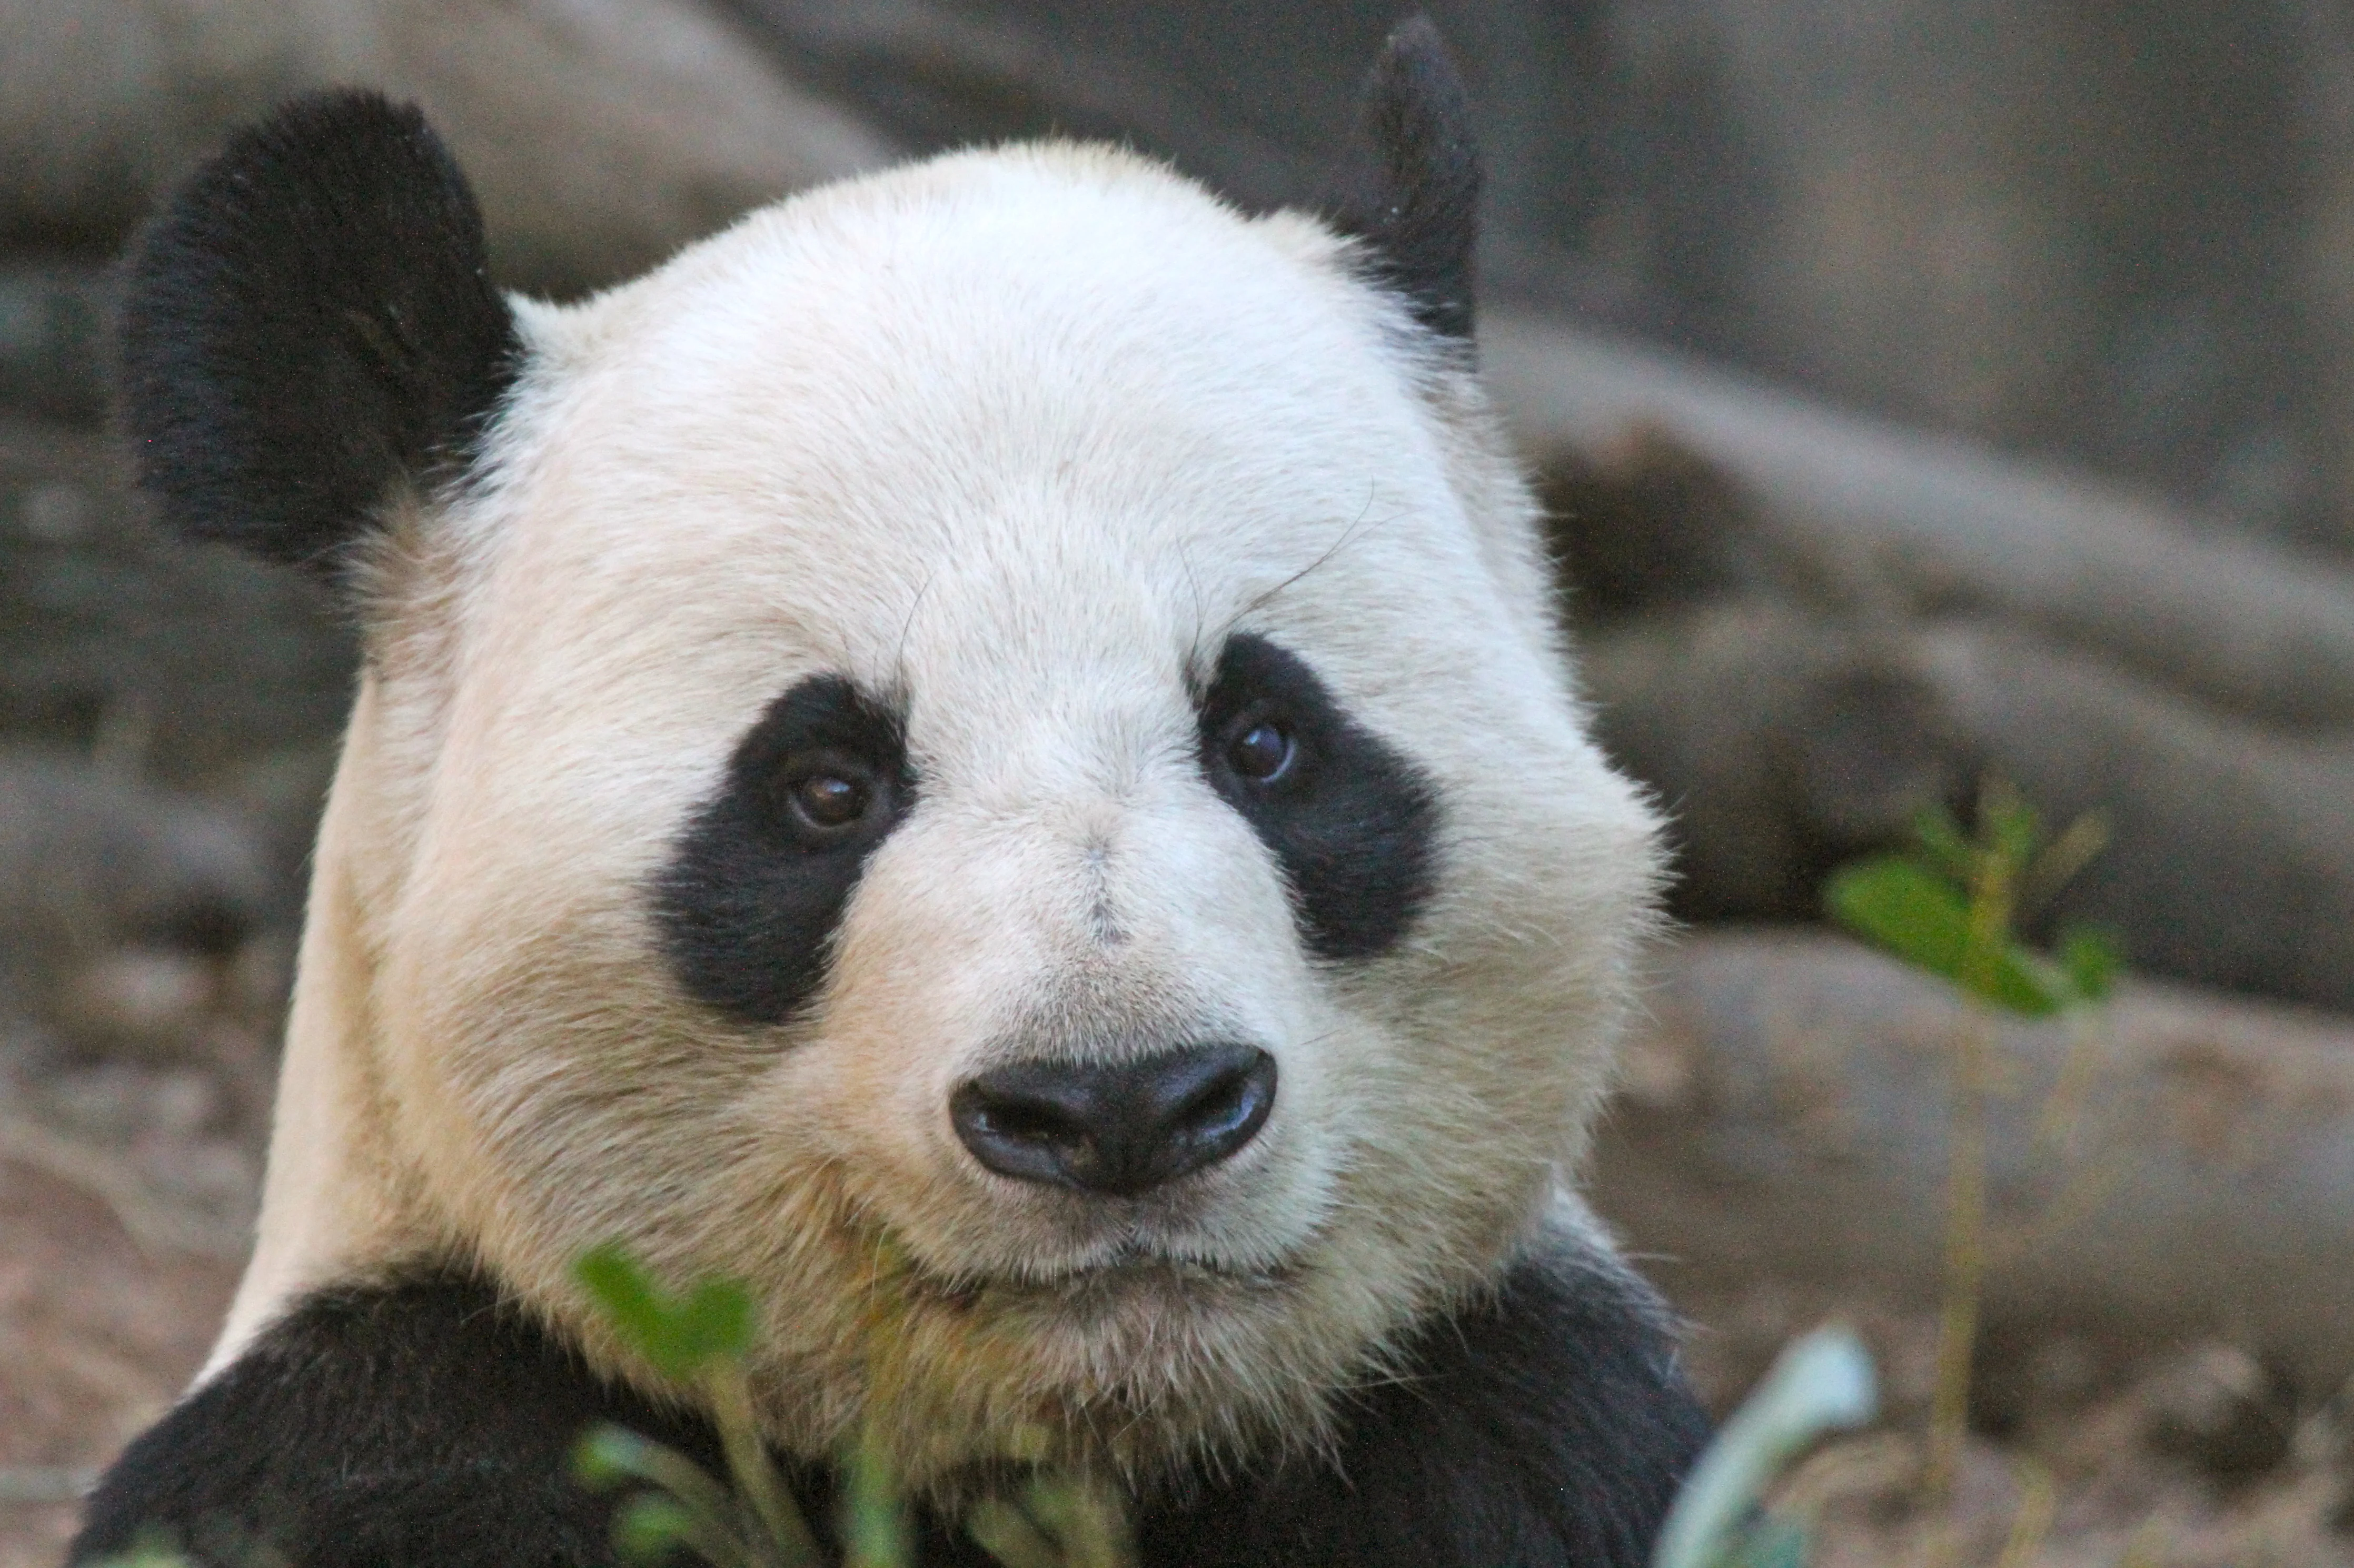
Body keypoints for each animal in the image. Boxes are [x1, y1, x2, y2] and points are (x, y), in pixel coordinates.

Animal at [72, 18, 1708, 1568]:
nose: (1120, 1103)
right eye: (822, 787)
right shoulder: (394, 1411)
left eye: (1264, 740)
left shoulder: (1518, 1405)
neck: (1078, 1439)